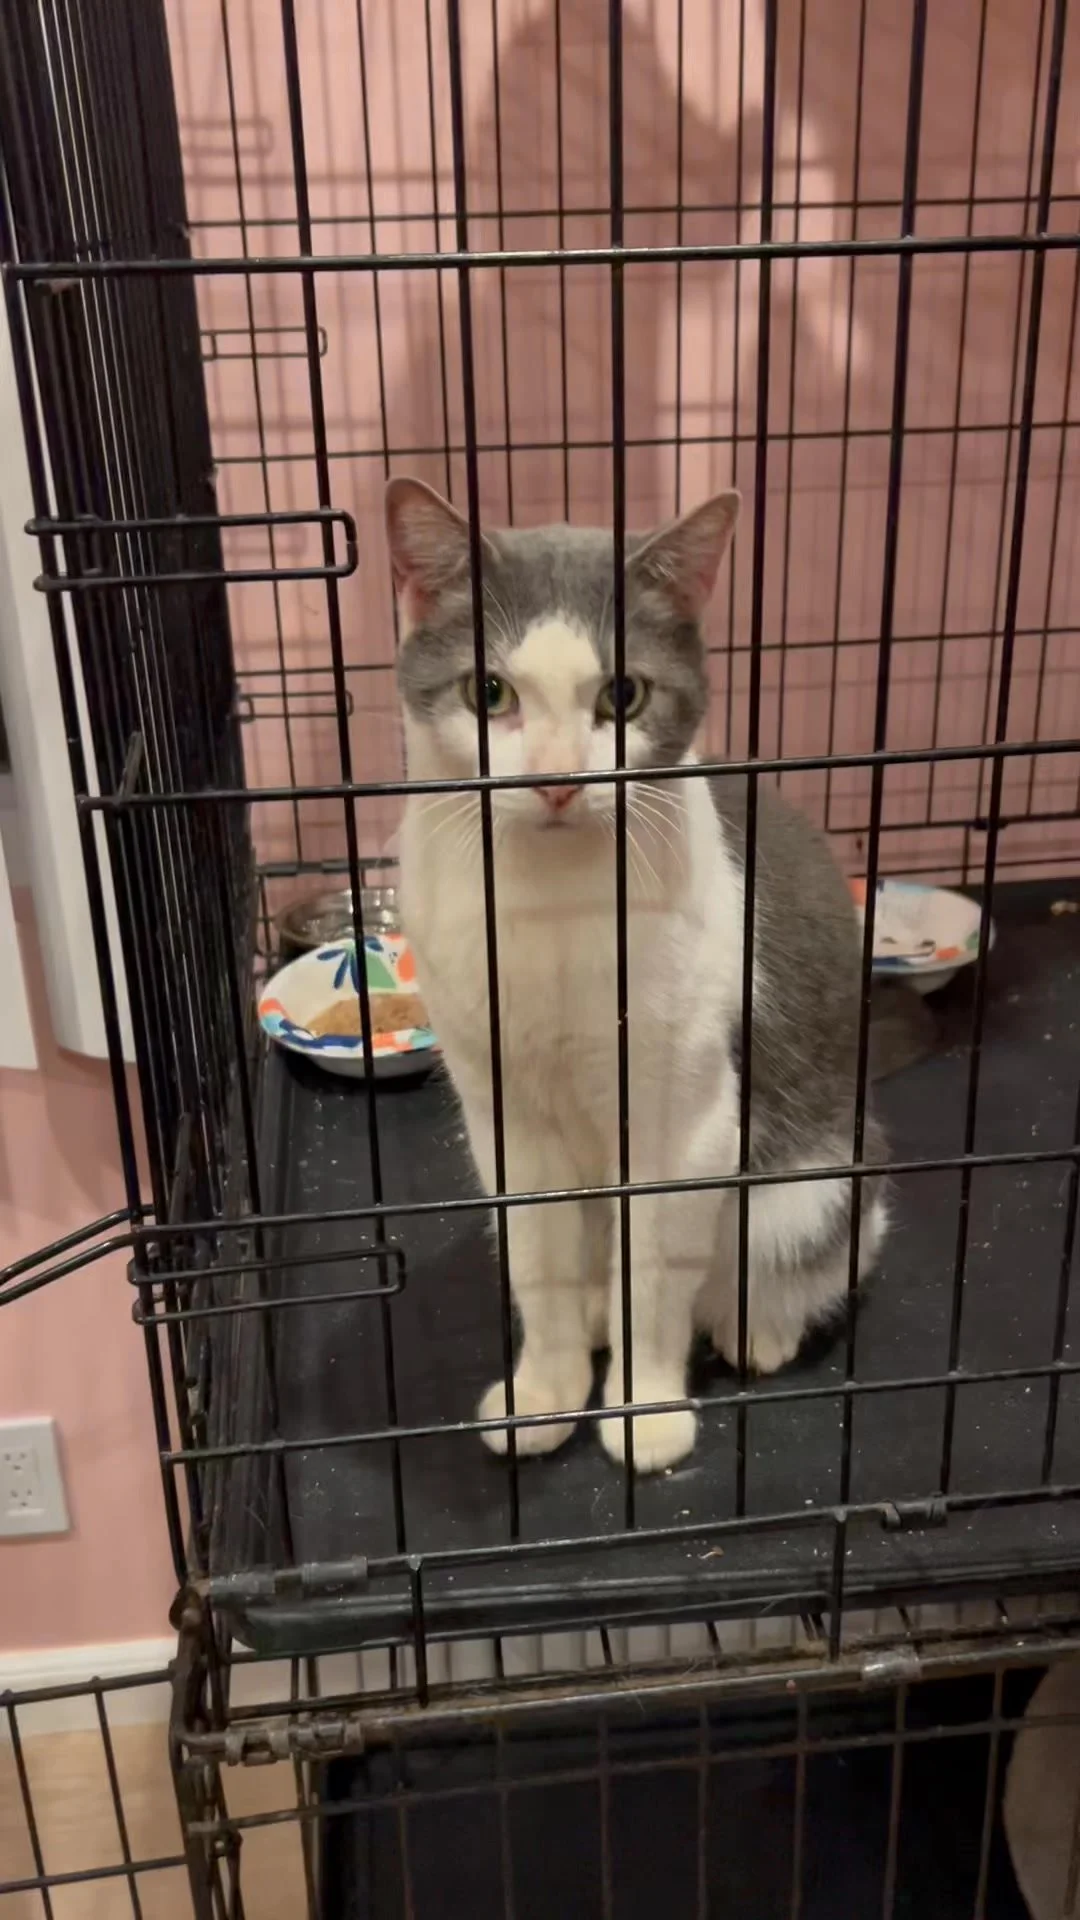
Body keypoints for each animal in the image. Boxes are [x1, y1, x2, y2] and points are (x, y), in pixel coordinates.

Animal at [388, 476, 887, 1474]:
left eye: (622, 695)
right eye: (488, 691)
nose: (554, 778)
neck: (551, 906)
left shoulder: (680, 1125)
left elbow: (654, 1274)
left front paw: (644, 1412)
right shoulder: (502, 1114)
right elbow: (539, 1259)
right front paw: (543, 1393)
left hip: (812, 1186)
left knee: (793, 1260)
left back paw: (756, 1328)